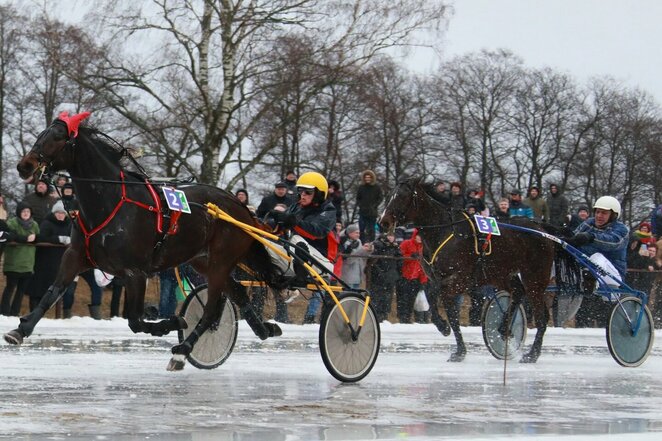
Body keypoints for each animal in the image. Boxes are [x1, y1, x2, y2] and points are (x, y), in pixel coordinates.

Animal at [8, 111, 282, 370]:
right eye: (41, 134)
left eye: (57, 137)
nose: (25, 165)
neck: (110, 202)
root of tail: (241, 207)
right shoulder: (75, 257)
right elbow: (51, 292)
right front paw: (20, 330)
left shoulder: (135, 273)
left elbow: (136, 321)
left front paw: (172, 321)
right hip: (204, 261)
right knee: (237, 292)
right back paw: (264, 329)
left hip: (220, 262)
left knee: (212, 310)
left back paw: (183, 351)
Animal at [382, 177, 556, 362]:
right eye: (391, 194)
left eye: (402, 196)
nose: (383, 221)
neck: (444, 231)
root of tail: (542, 229)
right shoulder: (436, 278)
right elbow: (441, 304)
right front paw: (454, 344)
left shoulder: (460, 280)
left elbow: (440, 299)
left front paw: (447, 333)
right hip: (502, 275)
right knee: (518, 292)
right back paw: (504, 329)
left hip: (534, 278)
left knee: (542, 316)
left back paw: (532, 354)